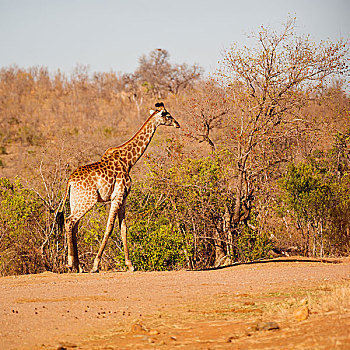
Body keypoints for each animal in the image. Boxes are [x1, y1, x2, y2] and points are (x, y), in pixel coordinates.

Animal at [57, 102, 180, 274]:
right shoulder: (118, 196)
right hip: (88, 201)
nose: (177, 124)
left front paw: (130, 265)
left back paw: (79, 266)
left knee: (74, 226)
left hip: (75, 201)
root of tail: (70, 182)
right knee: (69, 222)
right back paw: (70, 263)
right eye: (168, 115)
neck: (128, 161)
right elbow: (109, 227)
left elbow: (123, 229)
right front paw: (96, 265)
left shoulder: (123, 198)